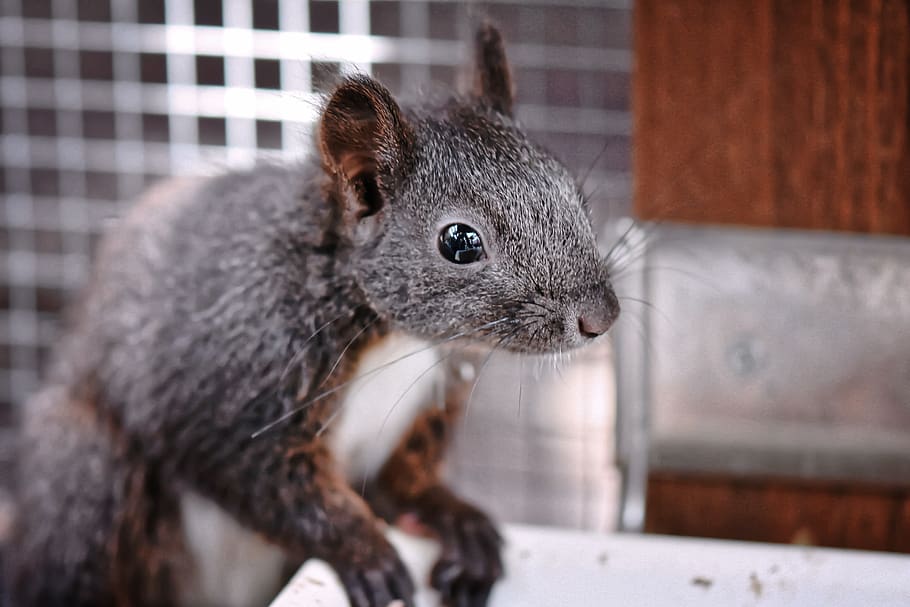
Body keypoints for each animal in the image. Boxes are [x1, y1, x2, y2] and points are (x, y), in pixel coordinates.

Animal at [7, 21, 620, 607]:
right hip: (87, 473)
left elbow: (403, 479)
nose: (601, 318)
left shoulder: (430, 396)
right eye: (460, 242)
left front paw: (451, 517)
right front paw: (364, 551)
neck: (393, 335)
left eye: (573, 193)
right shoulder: (238, 373)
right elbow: (269, 482)